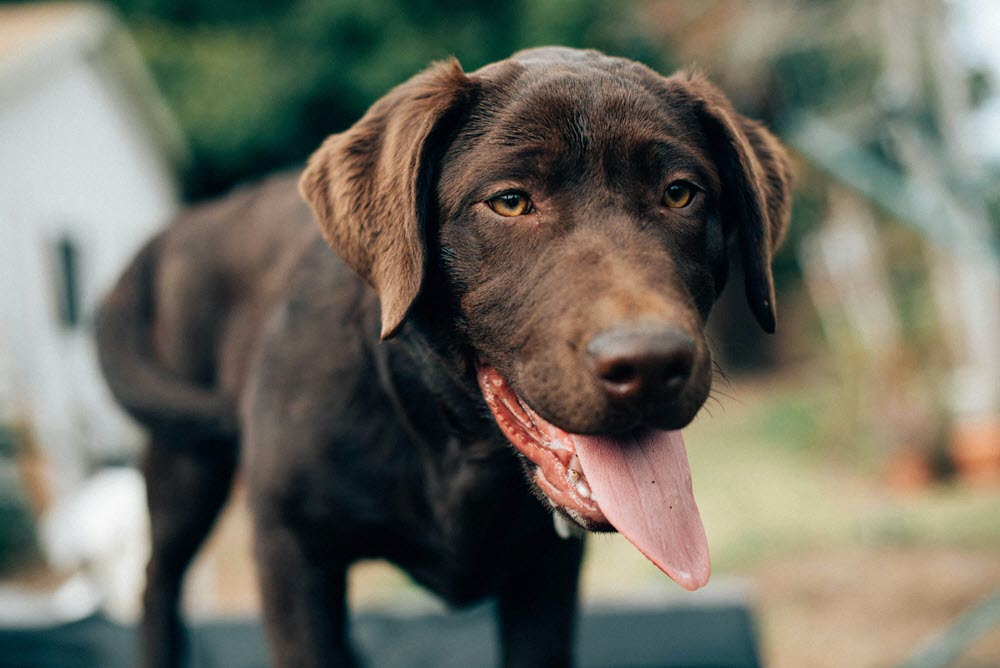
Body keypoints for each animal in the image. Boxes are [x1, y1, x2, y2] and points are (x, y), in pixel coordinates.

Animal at [97, 47, 792, 668]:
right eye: (510, 201)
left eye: (679, 193)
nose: (649, 364)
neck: (455, 446)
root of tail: (186, 224)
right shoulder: (291, 552)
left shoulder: (545, 577)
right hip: (186, 464)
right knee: (157, 581)